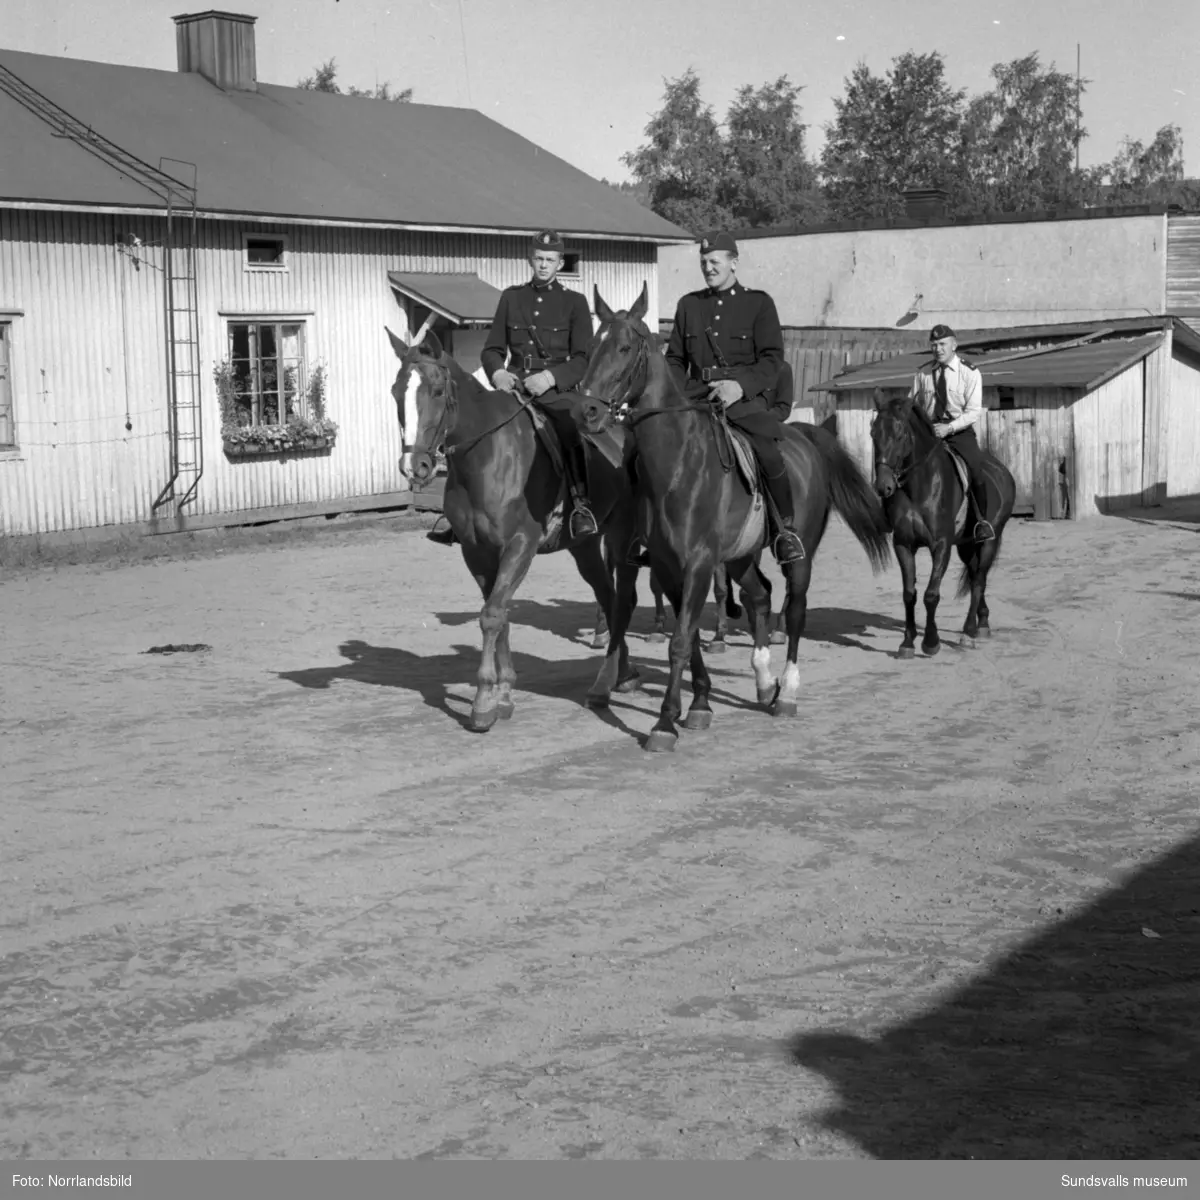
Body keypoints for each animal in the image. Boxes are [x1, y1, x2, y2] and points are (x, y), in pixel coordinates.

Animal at [388, 321, 643, 729]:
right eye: (397, 392)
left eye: (438, 390)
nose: (416, 467)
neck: (486, 457)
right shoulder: (477, 553)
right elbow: (499, 613)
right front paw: (504, 693)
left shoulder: (520, 546)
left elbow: (493, 614)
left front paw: (482, 703)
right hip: (585, 546)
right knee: (607, 594)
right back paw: (621, 671)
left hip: (621, 540)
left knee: (621, 599)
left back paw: (621, 674)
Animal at [576, 284, 897, 748]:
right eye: (590, 348)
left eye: (623, 347)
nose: (586, 412)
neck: (677, 464)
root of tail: (804, 436)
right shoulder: (671, 567)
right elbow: (688, 636)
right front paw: (699, 704)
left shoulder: (697, 564)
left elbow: (679, 641)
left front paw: (665, 722)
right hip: (740, 556)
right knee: (759, 596)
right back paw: (763, 681)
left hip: (797, 556)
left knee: (794, 610)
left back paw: (787, 692)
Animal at [868, 388, 1017, 657]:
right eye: (874, 433)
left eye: (900, 434)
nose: (883, 487)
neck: (919, 486)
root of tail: (1002, 471)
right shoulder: (903, 544)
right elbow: (909, 593)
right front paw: (907, 643)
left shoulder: (941, 545)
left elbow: (931, 594)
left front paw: (930, 642)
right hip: (966, 545)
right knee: (975, 573)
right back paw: (983, 621)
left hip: (990, 539)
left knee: (978, 580)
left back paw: (969, 632)